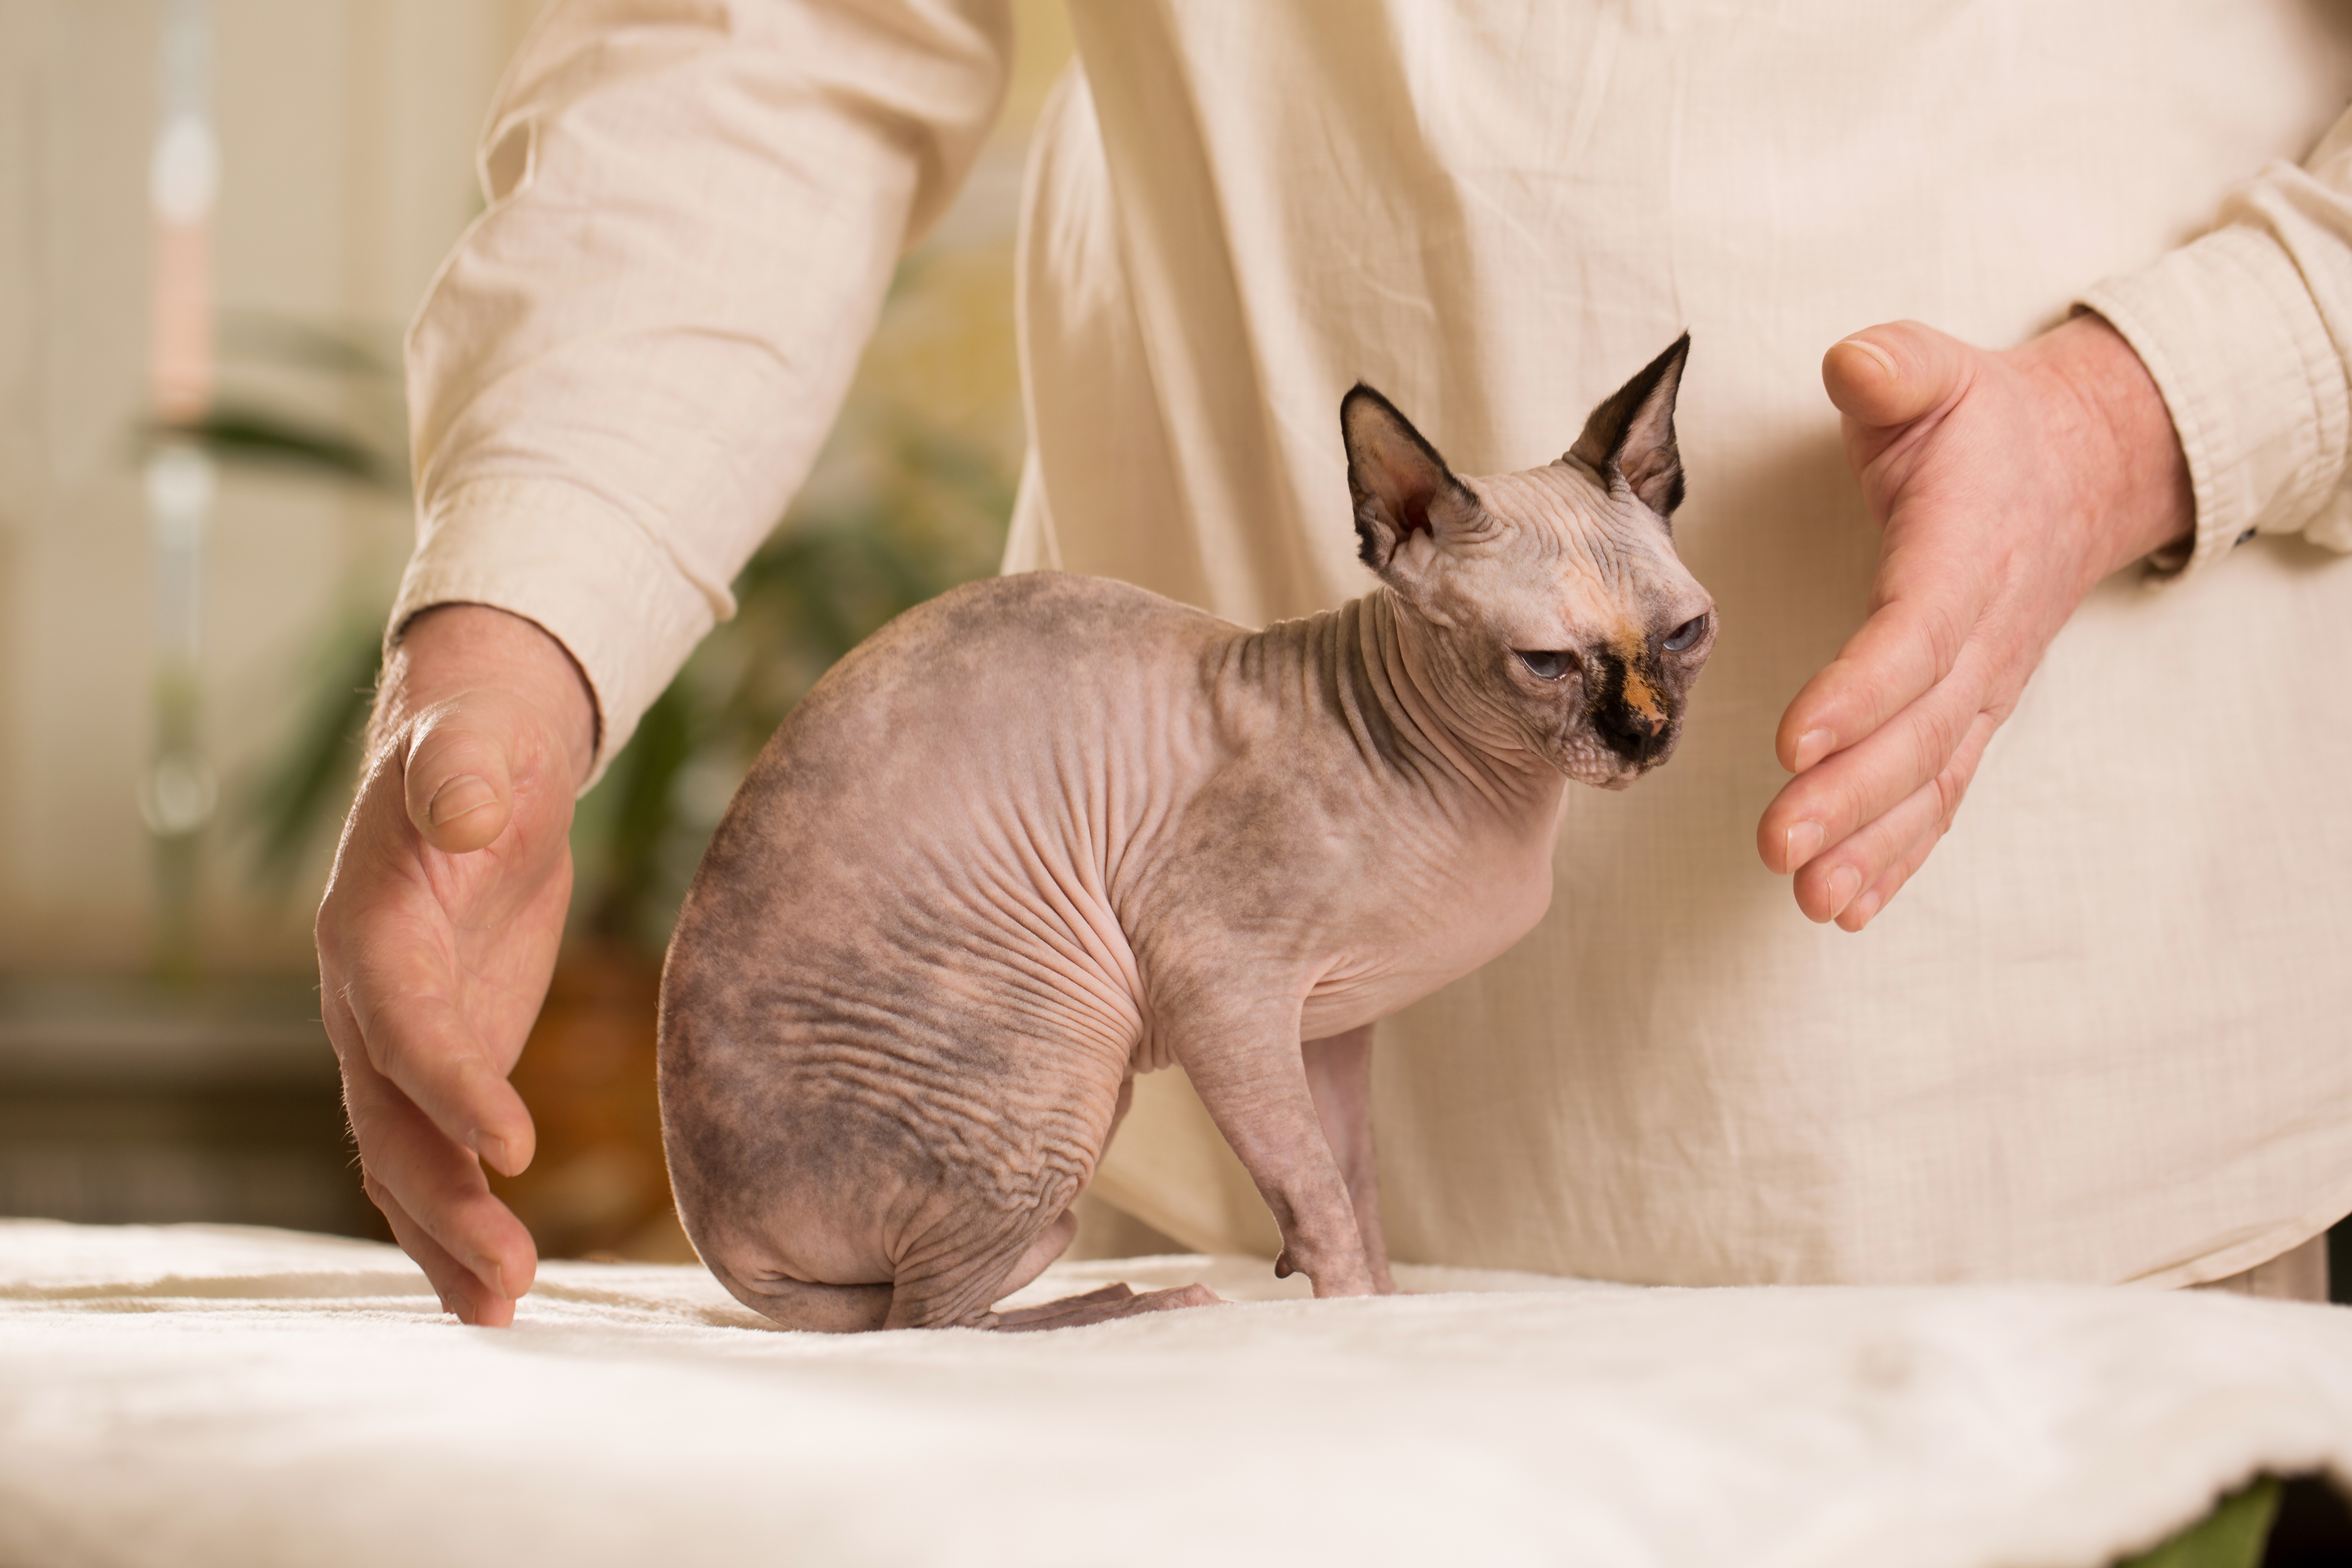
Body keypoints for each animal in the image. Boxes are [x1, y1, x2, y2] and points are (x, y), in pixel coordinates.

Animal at [663, 338, 1712, 1335]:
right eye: (1545, 663)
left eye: (1687, 635)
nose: (1646, 732)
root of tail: (717, 1244)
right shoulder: (1223, 985)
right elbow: (1317, 1195)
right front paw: (1349, 1316)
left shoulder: (1332, 1027)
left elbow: (1357, 1186)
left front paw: (1379, 1302)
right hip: (1064, 1051)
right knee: (927, 1318)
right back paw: (1138, 1304)